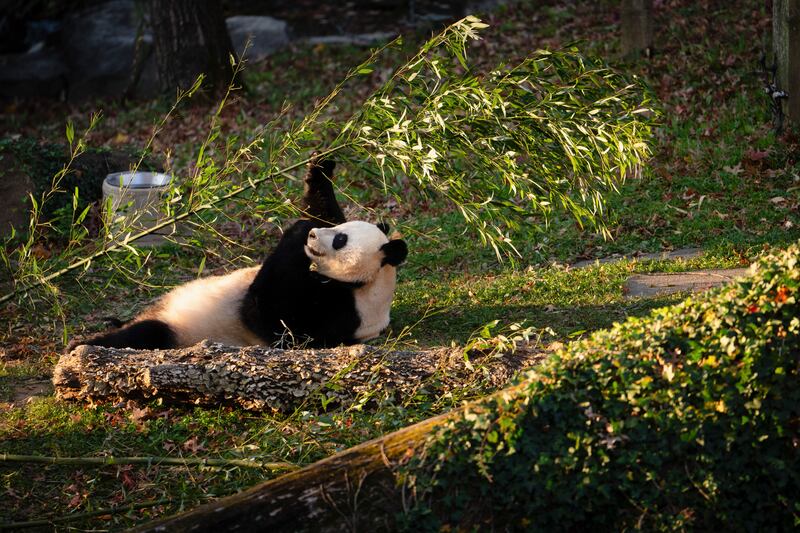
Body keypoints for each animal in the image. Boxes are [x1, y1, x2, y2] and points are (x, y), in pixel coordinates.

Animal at [68, 157, 408, 351]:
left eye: (340, 240)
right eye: (341, 228)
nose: (314, 236)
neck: (370, 283)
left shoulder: (338, 313)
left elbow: (268, 312)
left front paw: (299, 233)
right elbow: (322, 207)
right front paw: (322, 169)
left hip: (181, 329)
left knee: (145, 335)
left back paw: (82, 343)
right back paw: (110, 322)